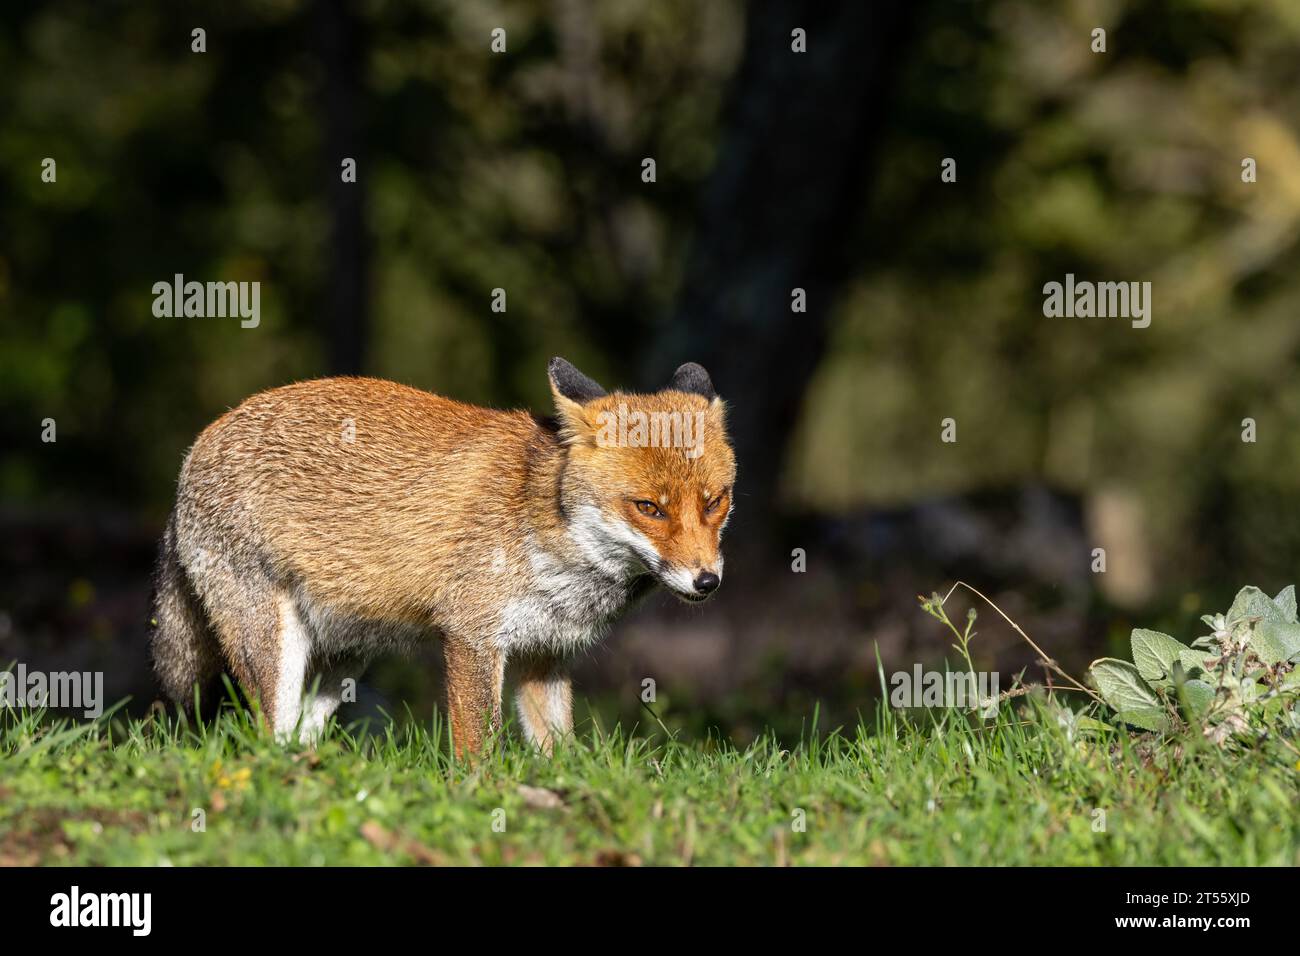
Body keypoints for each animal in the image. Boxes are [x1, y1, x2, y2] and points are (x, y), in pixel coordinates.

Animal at [149, 357, 735, 755]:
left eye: (714, 502)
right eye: (649, 508)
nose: (707, 582)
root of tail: (198, 444)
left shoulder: (544, 654)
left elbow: (558, 752)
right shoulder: (472, 636)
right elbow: (480, 750)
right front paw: (486, 798)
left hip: (344, 659)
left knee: (295, 737)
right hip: (274, 649)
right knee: (265, 738)